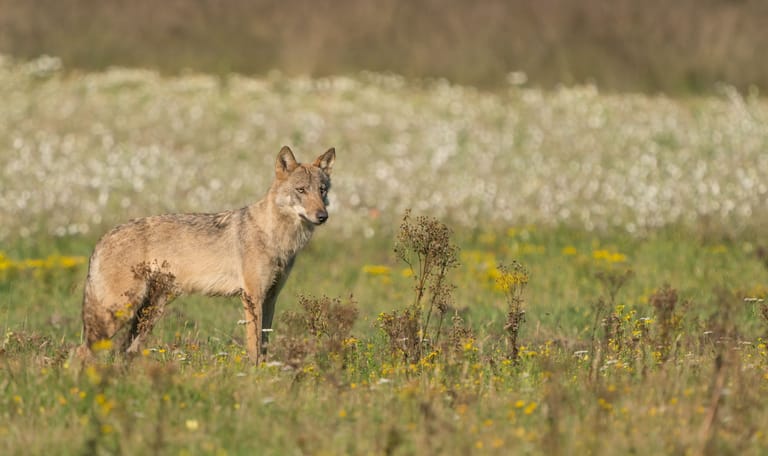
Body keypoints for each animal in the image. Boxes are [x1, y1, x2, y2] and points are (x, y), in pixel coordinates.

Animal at [77, 146, 335, 363]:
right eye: (301, 190)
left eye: (322, 191)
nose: (323, 216)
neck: (276, 237)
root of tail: (103, 237)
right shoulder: (252, 297)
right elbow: (254, 348)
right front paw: (254, 377)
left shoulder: (270, 298)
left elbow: (264, 345)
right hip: (119, 313)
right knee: (81, 351)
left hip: (149, 314)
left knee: (123, 351)